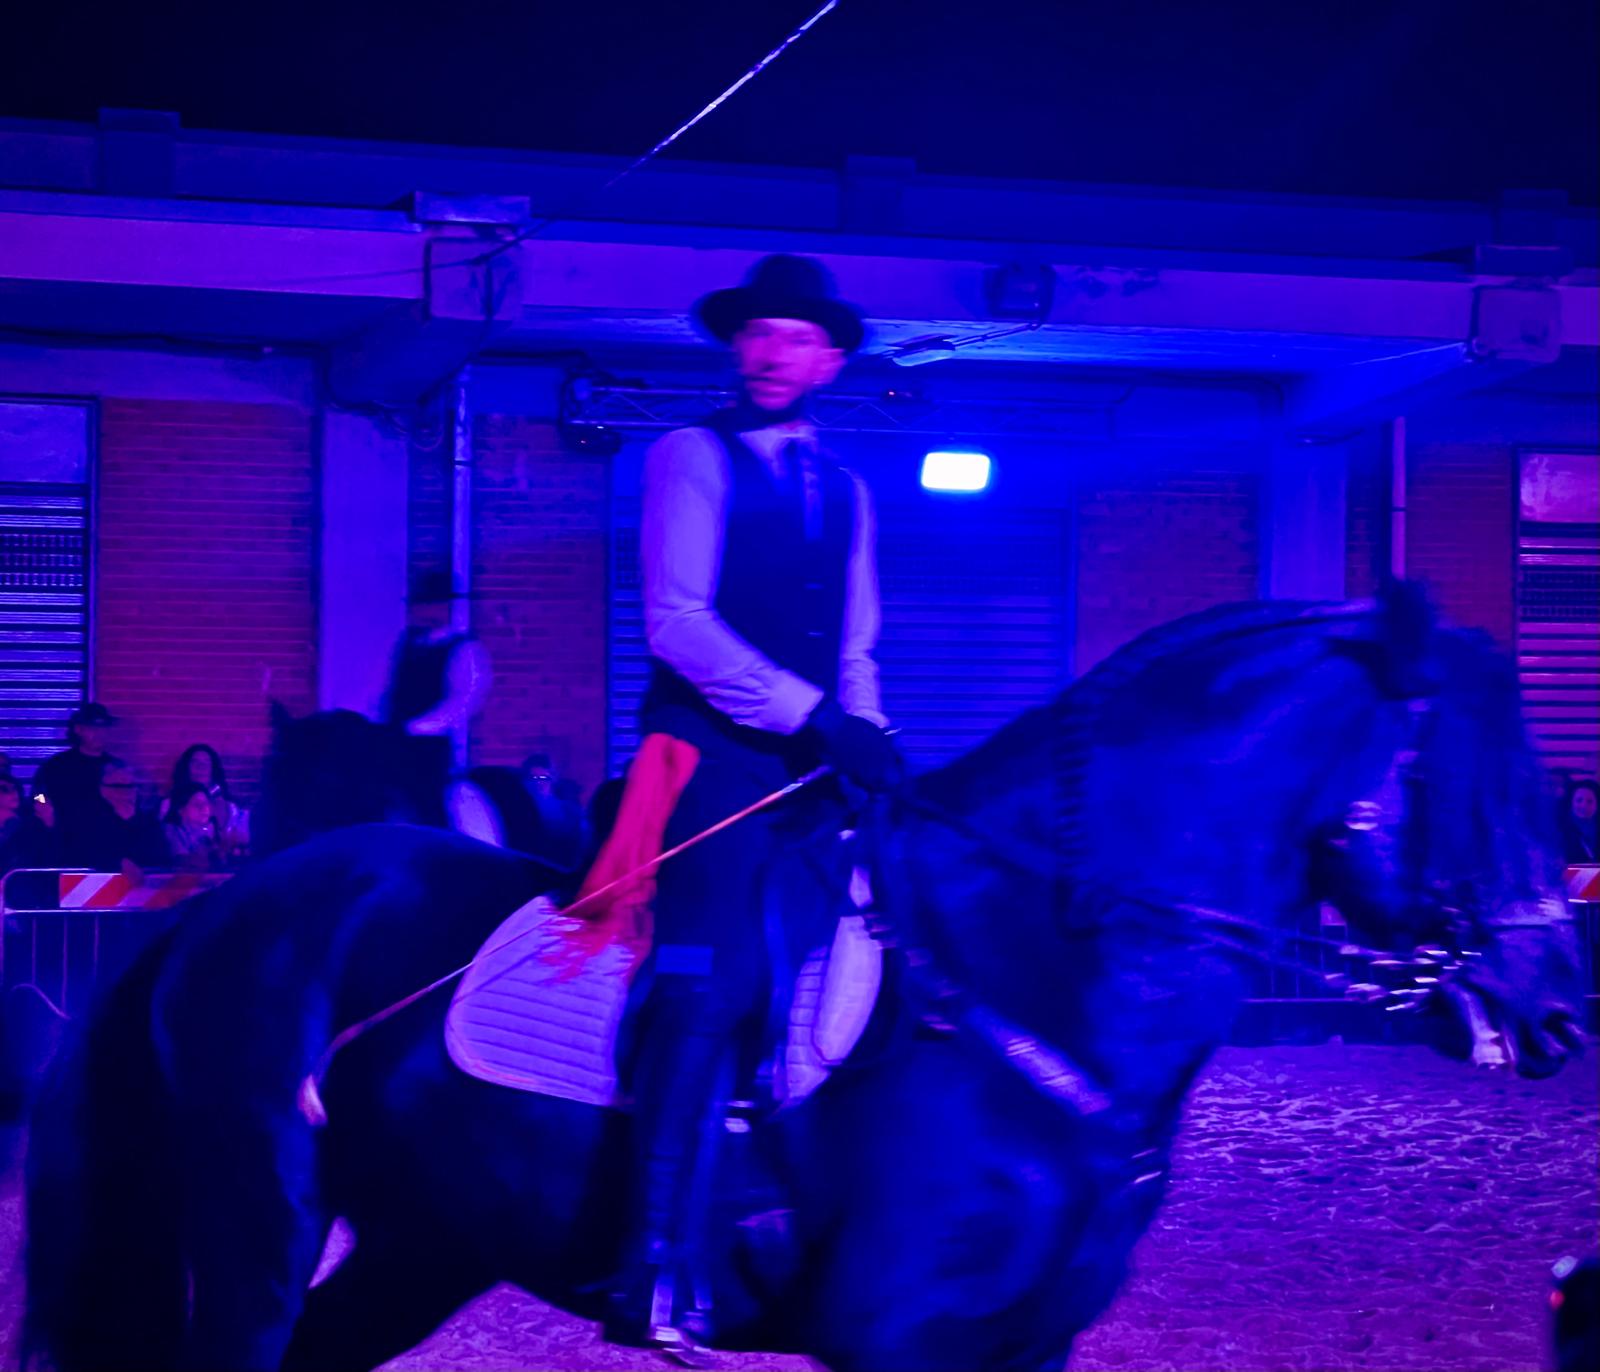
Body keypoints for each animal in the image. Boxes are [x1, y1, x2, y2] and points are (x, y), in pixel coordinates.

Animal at [23, 590, 1587, 1372]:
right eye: (1476, 780)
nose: (1560, 1013)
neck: (1040, 981)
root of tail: (226, 911)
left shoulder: (1021, 1348)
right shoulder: (901, 1340)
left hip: (424, 1239)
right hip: (259, 1224)